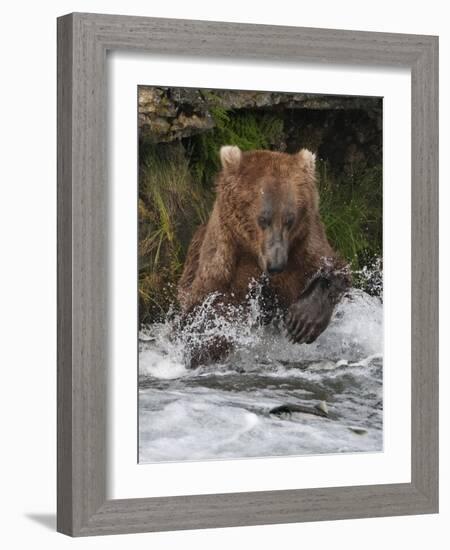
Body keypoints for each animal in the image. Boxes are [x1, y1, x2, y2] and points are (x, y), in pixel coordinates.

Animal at [178, 146, 350, 366]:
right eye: (263, 219)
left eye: (289, 219)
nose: (276, 264)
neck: (254, 253)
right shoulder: (224, 264)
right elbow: (206, 311)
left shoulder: (304, 249)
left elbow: (332, 269)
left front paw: (302, 322)